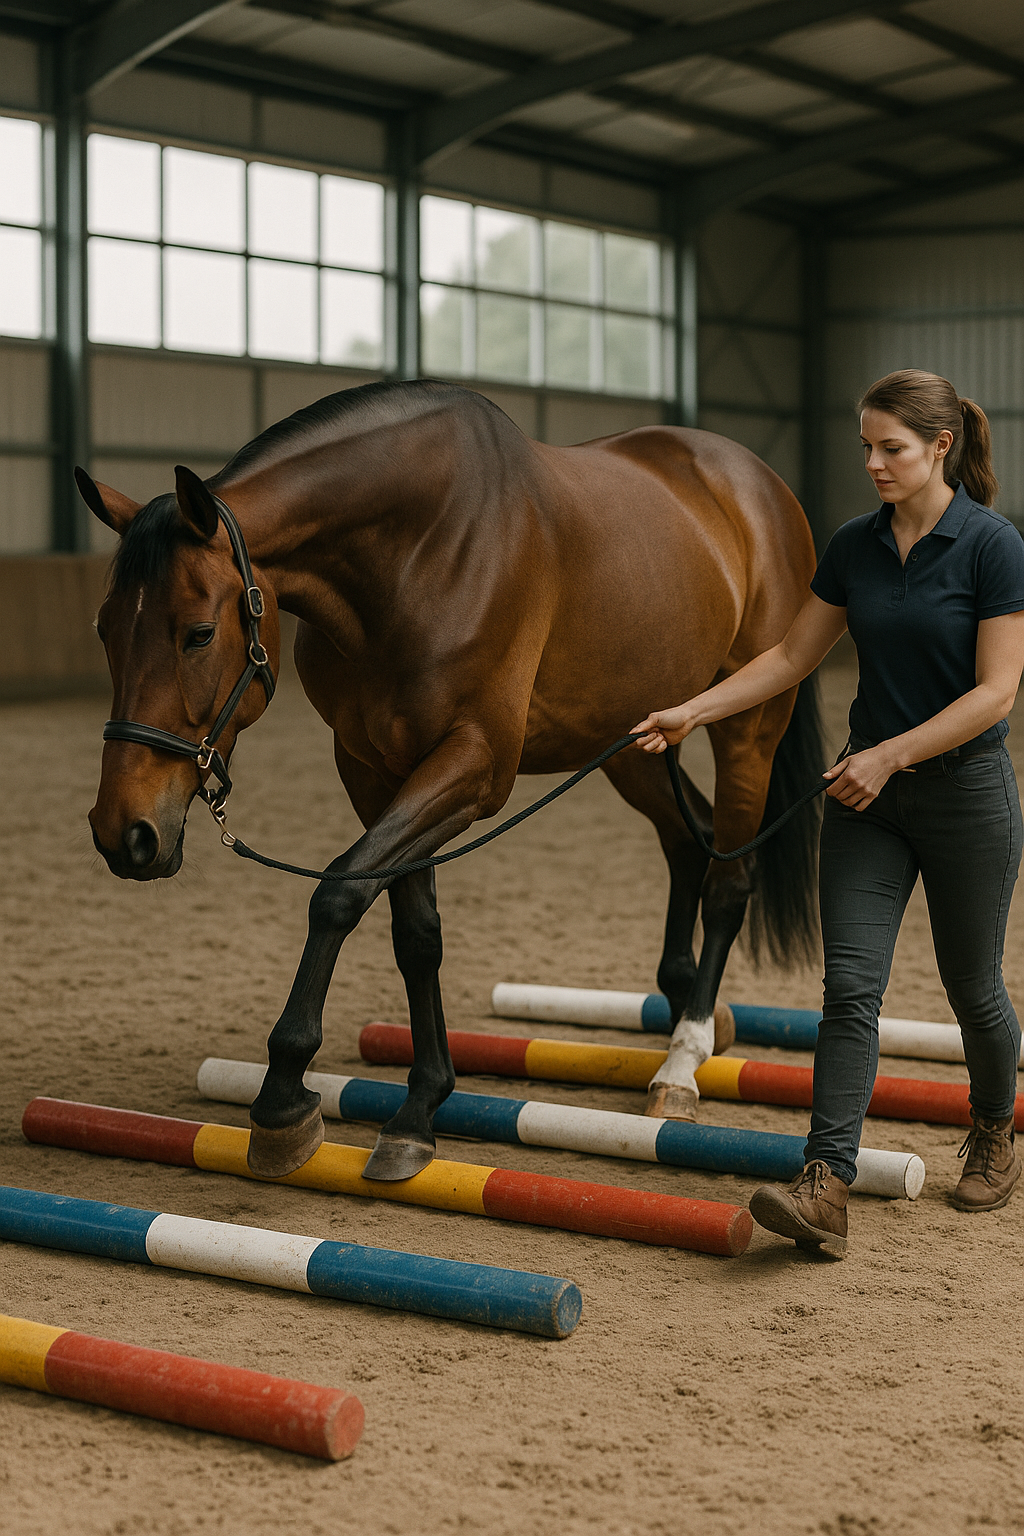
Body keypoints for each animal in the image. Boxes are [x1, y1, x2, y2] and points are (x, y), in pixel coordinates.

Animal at [80, 378, 823, 1183]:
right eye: (104, 629)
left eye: (198, 633)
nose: (125, 833)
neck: (418, 551)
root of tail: (761, 485)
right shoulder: (373, 770)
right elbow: (415, 931)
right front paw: (419, 1108)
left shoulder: (472, 766)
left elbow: (338, 892)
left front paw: (283, 1098)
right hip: (635, 738)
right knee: (692, 840)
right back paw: (695, 1007)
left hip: (748, 725)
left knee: (730, 880)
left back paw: (682, 1063)